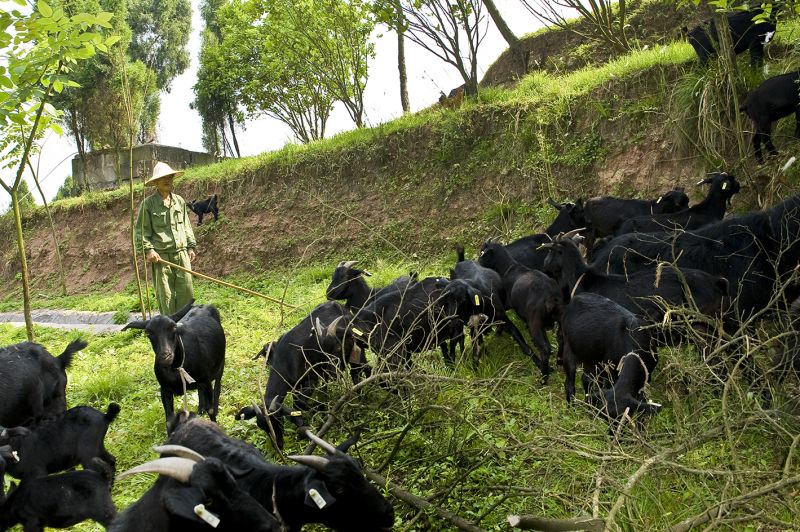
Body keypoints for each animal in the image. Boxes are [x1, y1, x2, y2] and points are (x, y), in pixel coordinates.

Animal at [123, 302, 227, 430]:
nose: (165, 355)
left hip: (221, 362)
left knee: (217, 385)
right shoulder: (165, 389)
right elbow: (169, 421)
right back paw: (201, 408)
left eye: (173, 327)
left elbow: (211, 410)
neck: (176, 369)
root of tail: (204, 305)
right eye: (148, 332)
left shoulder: (206, 381)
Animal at [238, 304, 362, 448]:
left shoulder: (309, 380)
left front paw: (316, 412)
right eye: (262, 427)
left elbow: (299, 403)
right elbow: (298, 404)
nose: (278, 445)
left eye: (277, 420)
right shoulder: (297, 385)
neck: (284, 361)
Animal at [478, 239, 560, 376]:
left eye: (483, 252)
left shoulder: (504, 304)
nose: (477, 262)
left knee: (545, 349)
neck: (508, 268)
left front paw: (497, 332)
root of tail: (549, 295)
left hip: (535, 323)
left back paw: (544, 374)